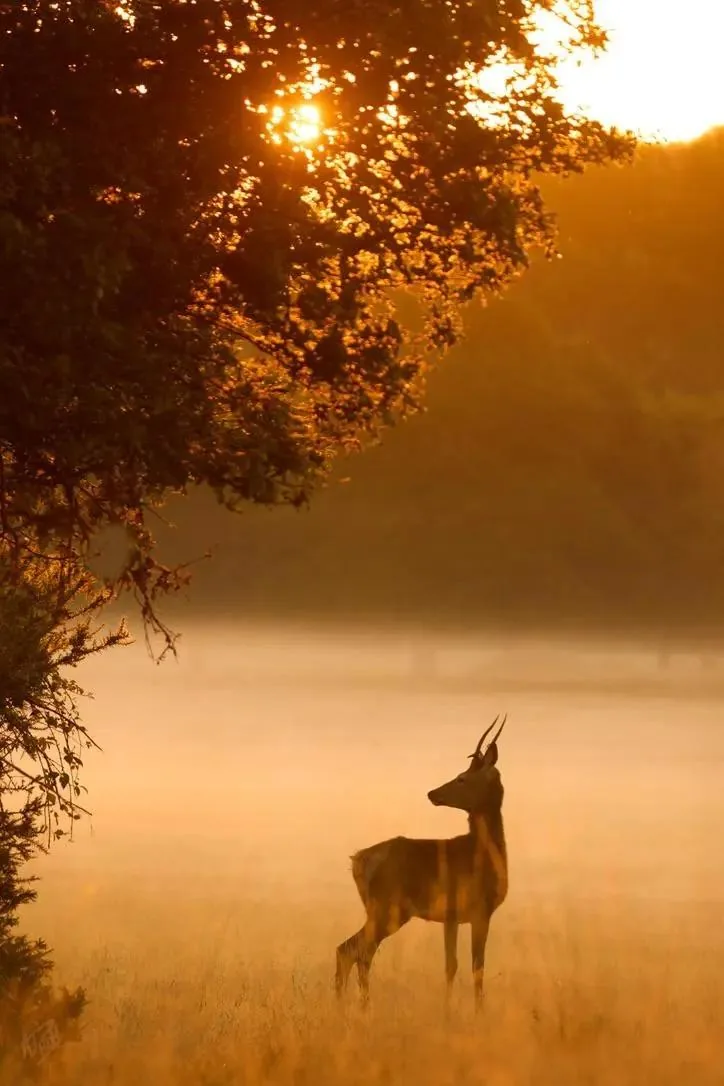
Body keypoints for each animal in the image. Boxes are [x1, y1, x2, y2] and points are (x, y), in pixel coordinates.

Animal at [335, 715, 508, 1009]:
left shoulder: (452, 918)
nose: (432, 793)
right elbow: (476, 967)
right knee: (354, 951)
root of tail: (357, 860)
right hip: (387, 911)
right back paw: (361, 1007)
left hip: (382, 912)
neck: (484, 852)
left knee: (352, 951)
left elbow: (452, 966)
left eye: (462, 778)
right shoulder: (479, 912)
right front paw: (477, 1012)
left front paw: (449, 1010)